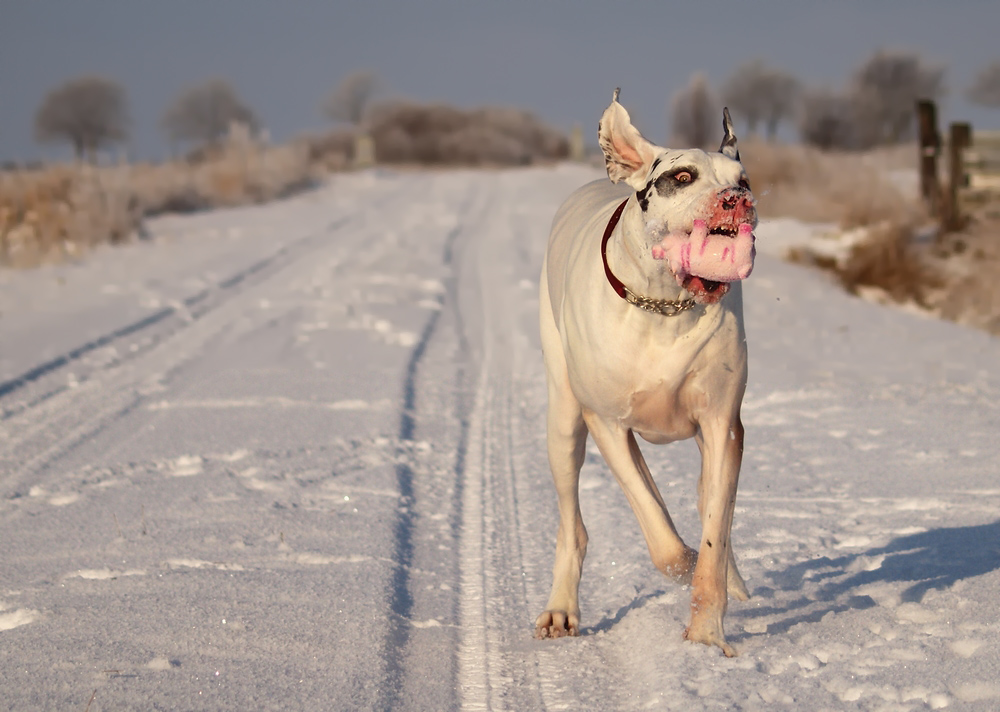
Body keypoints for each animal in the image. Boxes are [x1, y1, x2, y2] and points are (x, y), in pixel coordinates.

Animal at [536, 89, 752, 656]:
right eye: (682, 177)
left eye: (743, 180)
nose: (737, 201)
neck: (664, 307)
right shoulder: (608, 424)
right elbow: (664, 539)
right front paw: (687, 565)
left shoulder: (722, 424)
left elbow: (714, 530)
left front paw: (706, 630)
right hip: (564, 423)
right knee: (574, 526)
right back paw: (561, 609)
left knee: (706, 501)